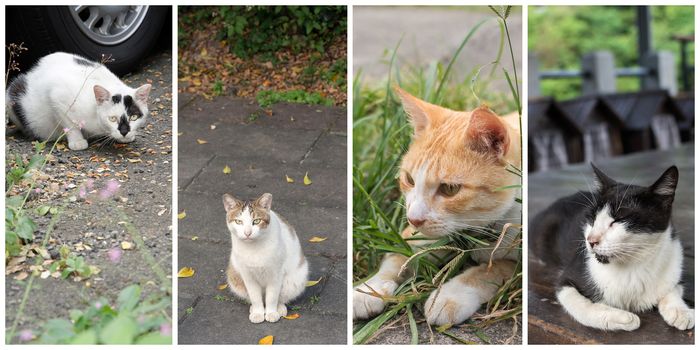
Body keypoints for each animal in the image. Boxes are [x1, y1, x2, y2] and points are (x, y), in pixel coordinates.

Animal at [5, 52, 150, 150]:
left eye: (134, 117)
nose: (124, 132)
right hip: (13, 94)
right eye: (112, 118)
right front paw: (77, 141)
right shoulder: (57, 95)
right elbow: (69, 124)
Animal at [223, 193, 310, 324]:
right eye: (239, 221)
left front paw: (271, 313)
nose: (247, 233)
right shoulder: (248, 276)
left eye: (256, 221)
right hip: (234, 277)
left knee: (280, 297)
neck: (253, 248)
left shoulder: (276, 274)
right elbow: (255, 297)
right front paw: (258, 313)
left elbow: (272, 297)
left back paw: (279, 308)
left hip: (294, 280)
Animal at [352, 87, 524, 326]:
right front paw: (369, 289)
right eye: (409, 179)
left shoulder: (518, 266)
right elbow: (398, 258)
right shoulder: (413, 236)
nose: (414, 218)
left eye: (450, 189)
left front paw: (450, 295)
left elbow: (489, 271)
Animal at [532, 164, 692, 330]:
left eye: (618, 220)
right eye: (592, 218)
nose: (591, 240)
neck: (632, 266)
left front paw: (681, 312)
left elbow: (673, 288)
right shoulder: (567, 280)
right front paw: (622, 318)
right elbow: (580, 305)